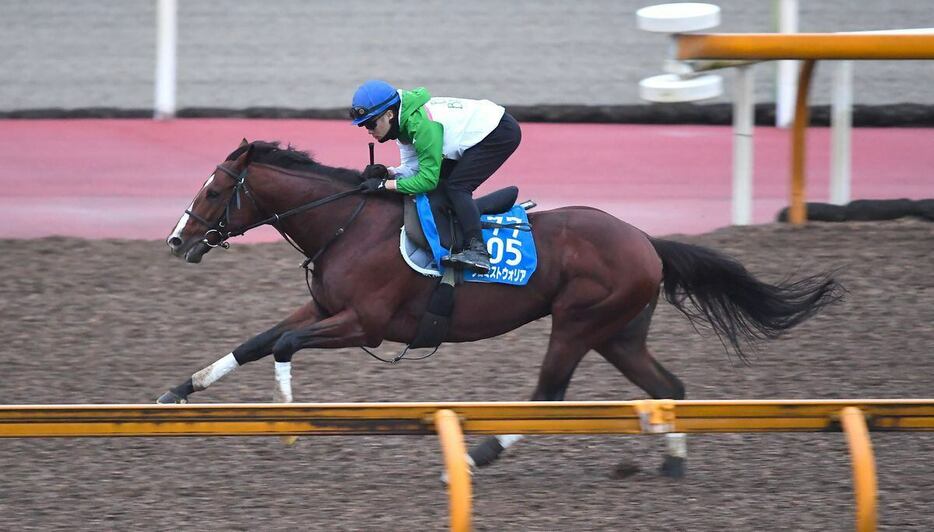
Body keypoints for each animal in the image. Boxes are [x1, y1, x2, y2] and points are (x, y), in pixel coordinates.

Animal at [159, 139, 840, 476]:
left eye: (215, 191)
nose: (176, 240)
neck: (348, 225)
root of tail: (647, 241)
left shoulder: (363, 325)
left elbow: (280, 345)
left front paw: (288, 415)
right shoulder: (322, 308)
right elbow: (256, 340)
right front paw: (177, 391)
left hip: (578, 322)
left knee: (550, 396)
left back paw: (476, 453)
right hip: (618, 333)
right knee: (667, 385)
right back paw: (672, 463)